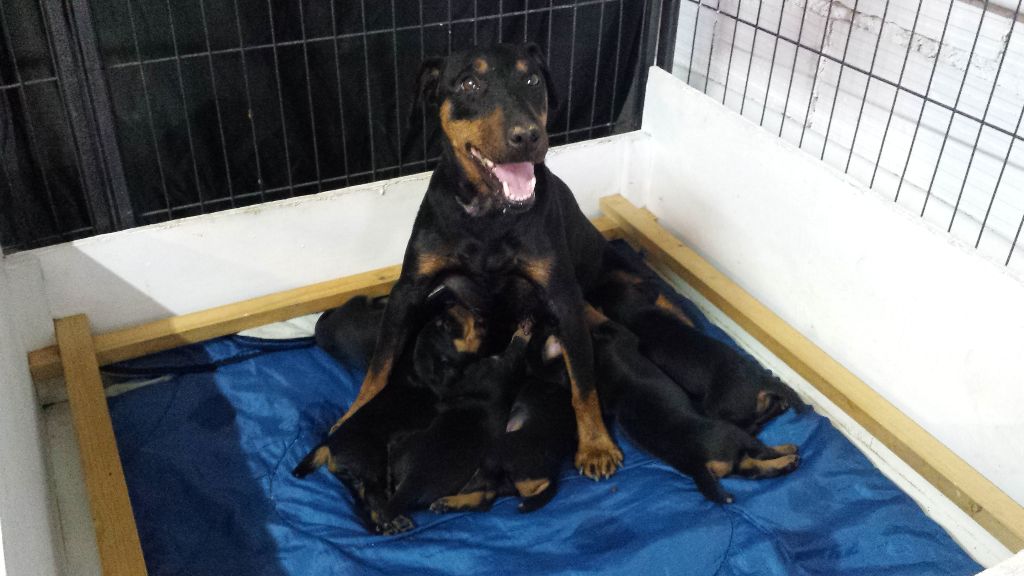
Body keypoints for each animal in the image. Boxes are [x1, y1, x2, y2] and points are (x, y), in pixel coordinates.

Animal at [333, 43, 622, 475]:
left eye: (532, 78)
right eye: (469, 83)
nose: (527, 135)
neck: (489, 215)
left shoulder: (561, 295)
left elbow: (583, 380)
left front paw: (596, 444)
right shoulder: (408, 289)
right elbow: (379, 366)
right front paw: (354, 415)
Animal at [378, 317, 536, 524]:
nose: (437, 319)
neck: (453, 378)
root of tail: (414, 480)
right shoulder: (500, 364)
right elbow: (515, 349)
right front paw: (524, 330)